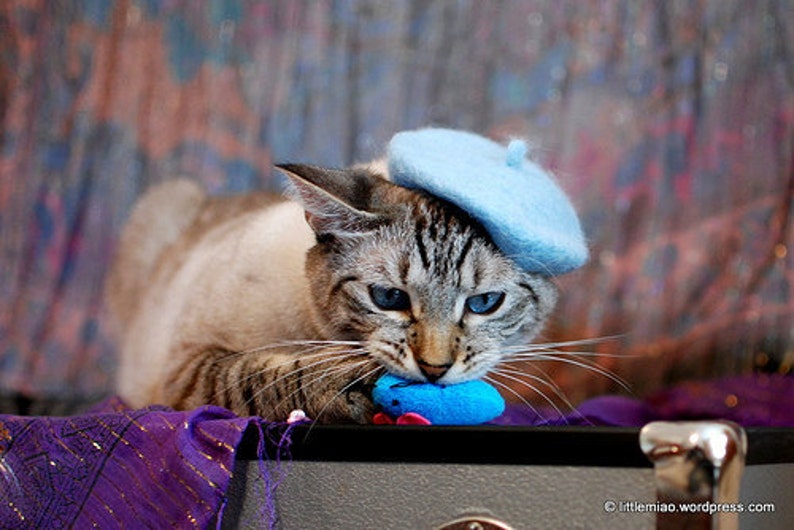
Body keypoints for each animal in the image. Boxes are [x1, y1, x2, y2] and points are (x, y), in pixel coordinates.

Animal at [103, 161, 556, 420]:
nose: (434, 370)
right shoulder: (187, 370)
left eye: (484, 304)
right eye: (389, 299)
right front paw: (354, 382)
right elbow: (262, 374)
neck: (316, 334)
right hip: (166, 200)